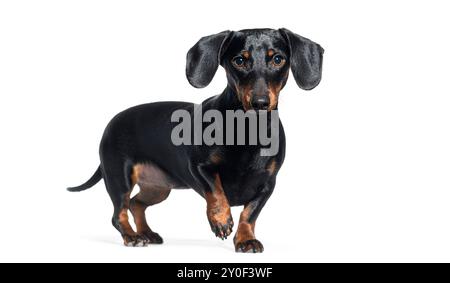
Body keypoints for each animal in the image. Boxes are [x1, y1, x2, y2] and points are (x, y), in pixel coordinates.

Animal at [68, 28, 324, 254]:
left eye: (278, 59)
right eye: (239, 60)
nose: (260, 103)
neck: (246, 129)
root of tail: (110, 124)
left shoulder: (268, 183)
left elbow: (249, 214)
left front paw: (246, 239)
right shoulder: (199, 167)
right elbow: (216, 192)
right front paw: (221, 220)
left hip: (158, 188)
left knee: (136, 204)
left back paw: (147, 233)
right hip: (119, 177)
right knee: (119, 212)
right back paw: (133, 237)